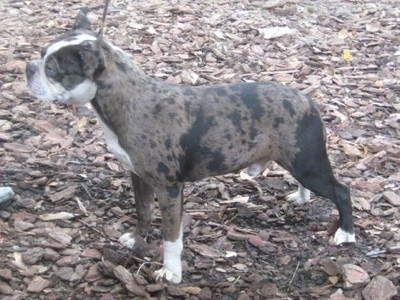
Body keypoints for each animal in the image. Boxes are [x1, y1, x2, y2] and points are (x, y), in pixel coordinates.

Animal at [26, 8, 354, 284]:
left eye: (52, 69)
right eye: (40, 55)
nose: (29, 67)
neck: (126, 100)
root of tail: (308, 100)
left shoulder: (169, 187)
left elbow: (171, 235)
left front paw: (171, 272)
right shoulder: (139, 176)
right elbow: (143, 211)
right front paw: (136, 240)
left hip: (308, 163)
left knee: (341, 191)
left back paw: (345, 234)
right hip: (298, 160)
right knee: (307, 183)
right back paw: (302, 198)